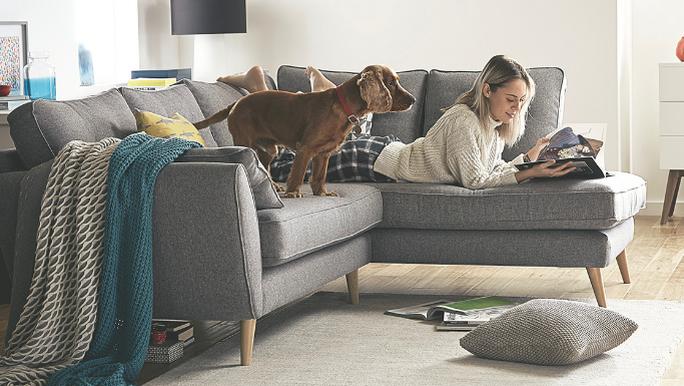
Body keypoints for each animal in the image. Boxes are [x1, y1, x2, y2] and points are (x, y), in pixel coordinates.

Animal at [194, 65, 416, 198]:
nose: (413, 100)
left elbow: (319, 176)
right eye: (390, 83)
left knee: (265, 167)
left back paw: (274, 187)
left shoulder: (324, 153)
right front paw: (293, 193)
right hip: (245, 141)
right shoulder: (306, 148)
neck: (343, 107)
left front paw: (322, 193)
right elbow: (298, 174)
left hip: (269, 149)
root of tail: (236, 103)